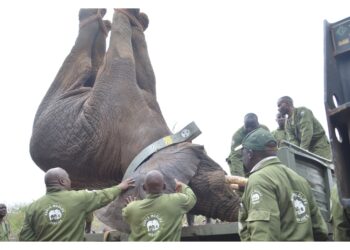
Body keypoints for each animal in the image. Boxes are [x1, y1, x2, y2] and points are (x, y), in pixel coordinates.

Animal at [30, 8, 241, 232]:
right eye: (219, 184)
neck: (155, 145)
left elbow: (145, 70)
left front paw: (138, 21)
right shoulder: (117, 94)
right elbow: (123, 57)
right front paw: (128, 13)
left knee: (91, 64)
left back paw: (105, 22)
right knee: (82, 62)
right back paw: (92, 15)